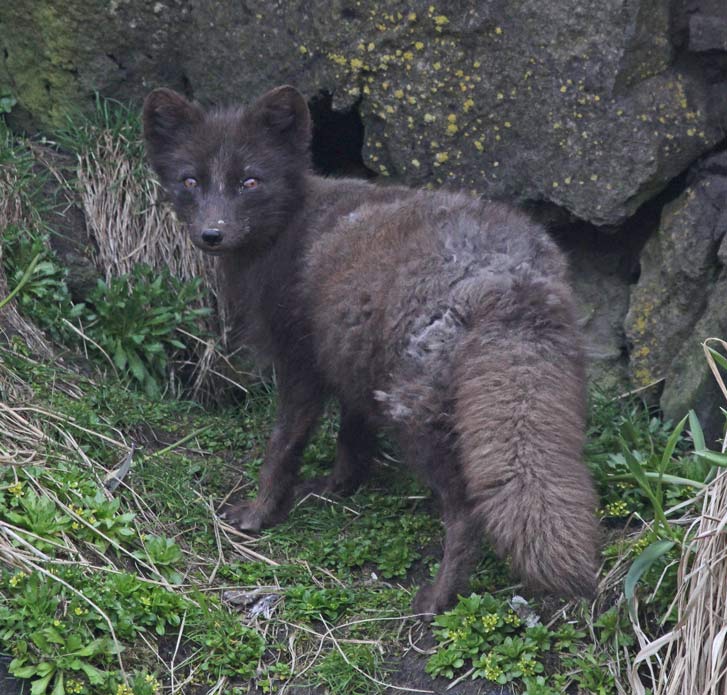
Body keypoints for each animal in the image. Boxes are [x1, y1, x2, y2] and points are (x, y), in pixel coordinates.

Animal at [143, 85, 600, 616]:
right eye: (190, 180)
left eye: (250, 181)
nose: (212, 234)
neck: (290, 227)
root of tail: (507, 278)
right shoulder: (350, 361)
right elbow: (351, 437)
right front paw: (338, 487)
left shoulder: (299, 362)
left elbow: (283, 446)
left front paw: (259, 514)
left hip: (414, 415)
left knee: (464, 514)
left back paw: (438, 599)